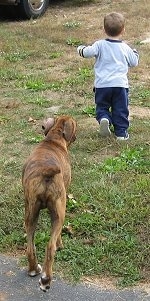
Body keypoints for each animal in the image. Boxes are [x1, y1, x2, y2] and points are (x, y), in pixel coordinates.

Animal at [22, 114, 77, 290]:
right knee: (50, 246)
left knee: (30, 246)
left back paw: (34, 270)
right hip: (59, 212)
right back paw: (46, 279)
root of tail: (46, 171)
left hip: (30, 212)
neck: (53, 138)